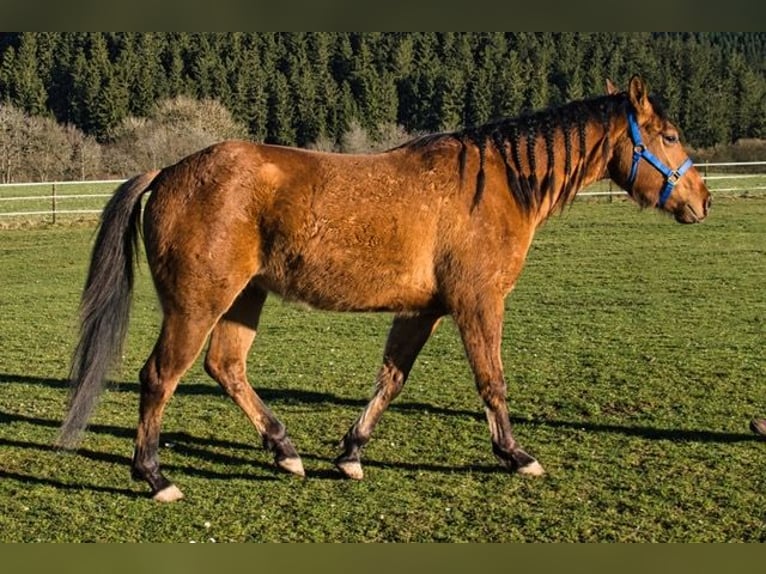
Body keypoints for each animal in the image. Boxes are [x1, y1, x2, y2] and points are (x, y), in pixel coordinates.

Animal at [56, 75, 711, 502]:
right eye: (670, 134)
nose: (702, 199)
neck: (497, 184)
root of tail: (168, 171)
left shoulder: (423, 311)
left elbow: (391, 381)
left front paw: (350, 453)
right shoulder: (477, 304)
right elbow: (491, 380)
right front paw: (515, 455)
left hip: (243, 299)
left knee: (226, 367)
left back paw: (284, 449)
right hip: (197, 305)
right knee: (159, 377)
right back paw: (154, 476)